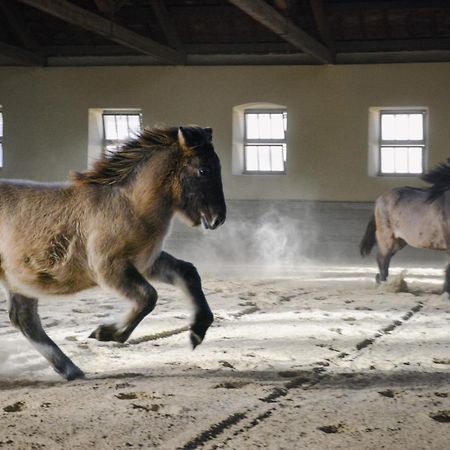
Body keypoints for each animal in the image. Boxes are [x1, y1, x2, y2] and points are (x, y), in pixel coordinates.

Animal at [0, 125, 225, 380]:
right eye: (204, 170)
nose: (218, 218)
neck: (128, 204)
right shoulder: (109, 268)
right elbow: (148, 296)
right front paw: (106, 332)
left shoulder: (146, 262)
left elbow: (187, 273)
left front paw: (197, 331)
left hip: (19, 282)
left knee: (24, 319)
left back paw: (71, 370)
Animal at [360, 160, 450, 290]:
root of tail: (379, 199)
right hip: (386, 238)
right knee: (382, 259)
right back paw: (384, 285)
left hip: (399, 241)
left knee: (386, 259)